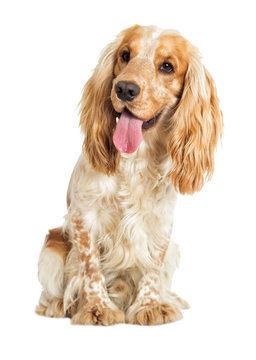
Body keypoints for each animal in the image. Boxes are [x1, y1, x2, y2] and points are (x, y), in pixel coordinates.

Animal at [35, 23, 222, 324]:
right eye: (125, 55)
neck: (137, 157)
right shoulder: (84, 217)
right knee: (50, 292)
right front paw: (97, 308)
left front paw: (150, 306)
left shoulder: (161, 224)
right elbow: (91, 269)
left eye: (167, 66)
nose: (124, 88)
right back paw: (57, 305)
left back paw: (171, 299)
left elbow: (152, 268)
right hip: (51, 251)